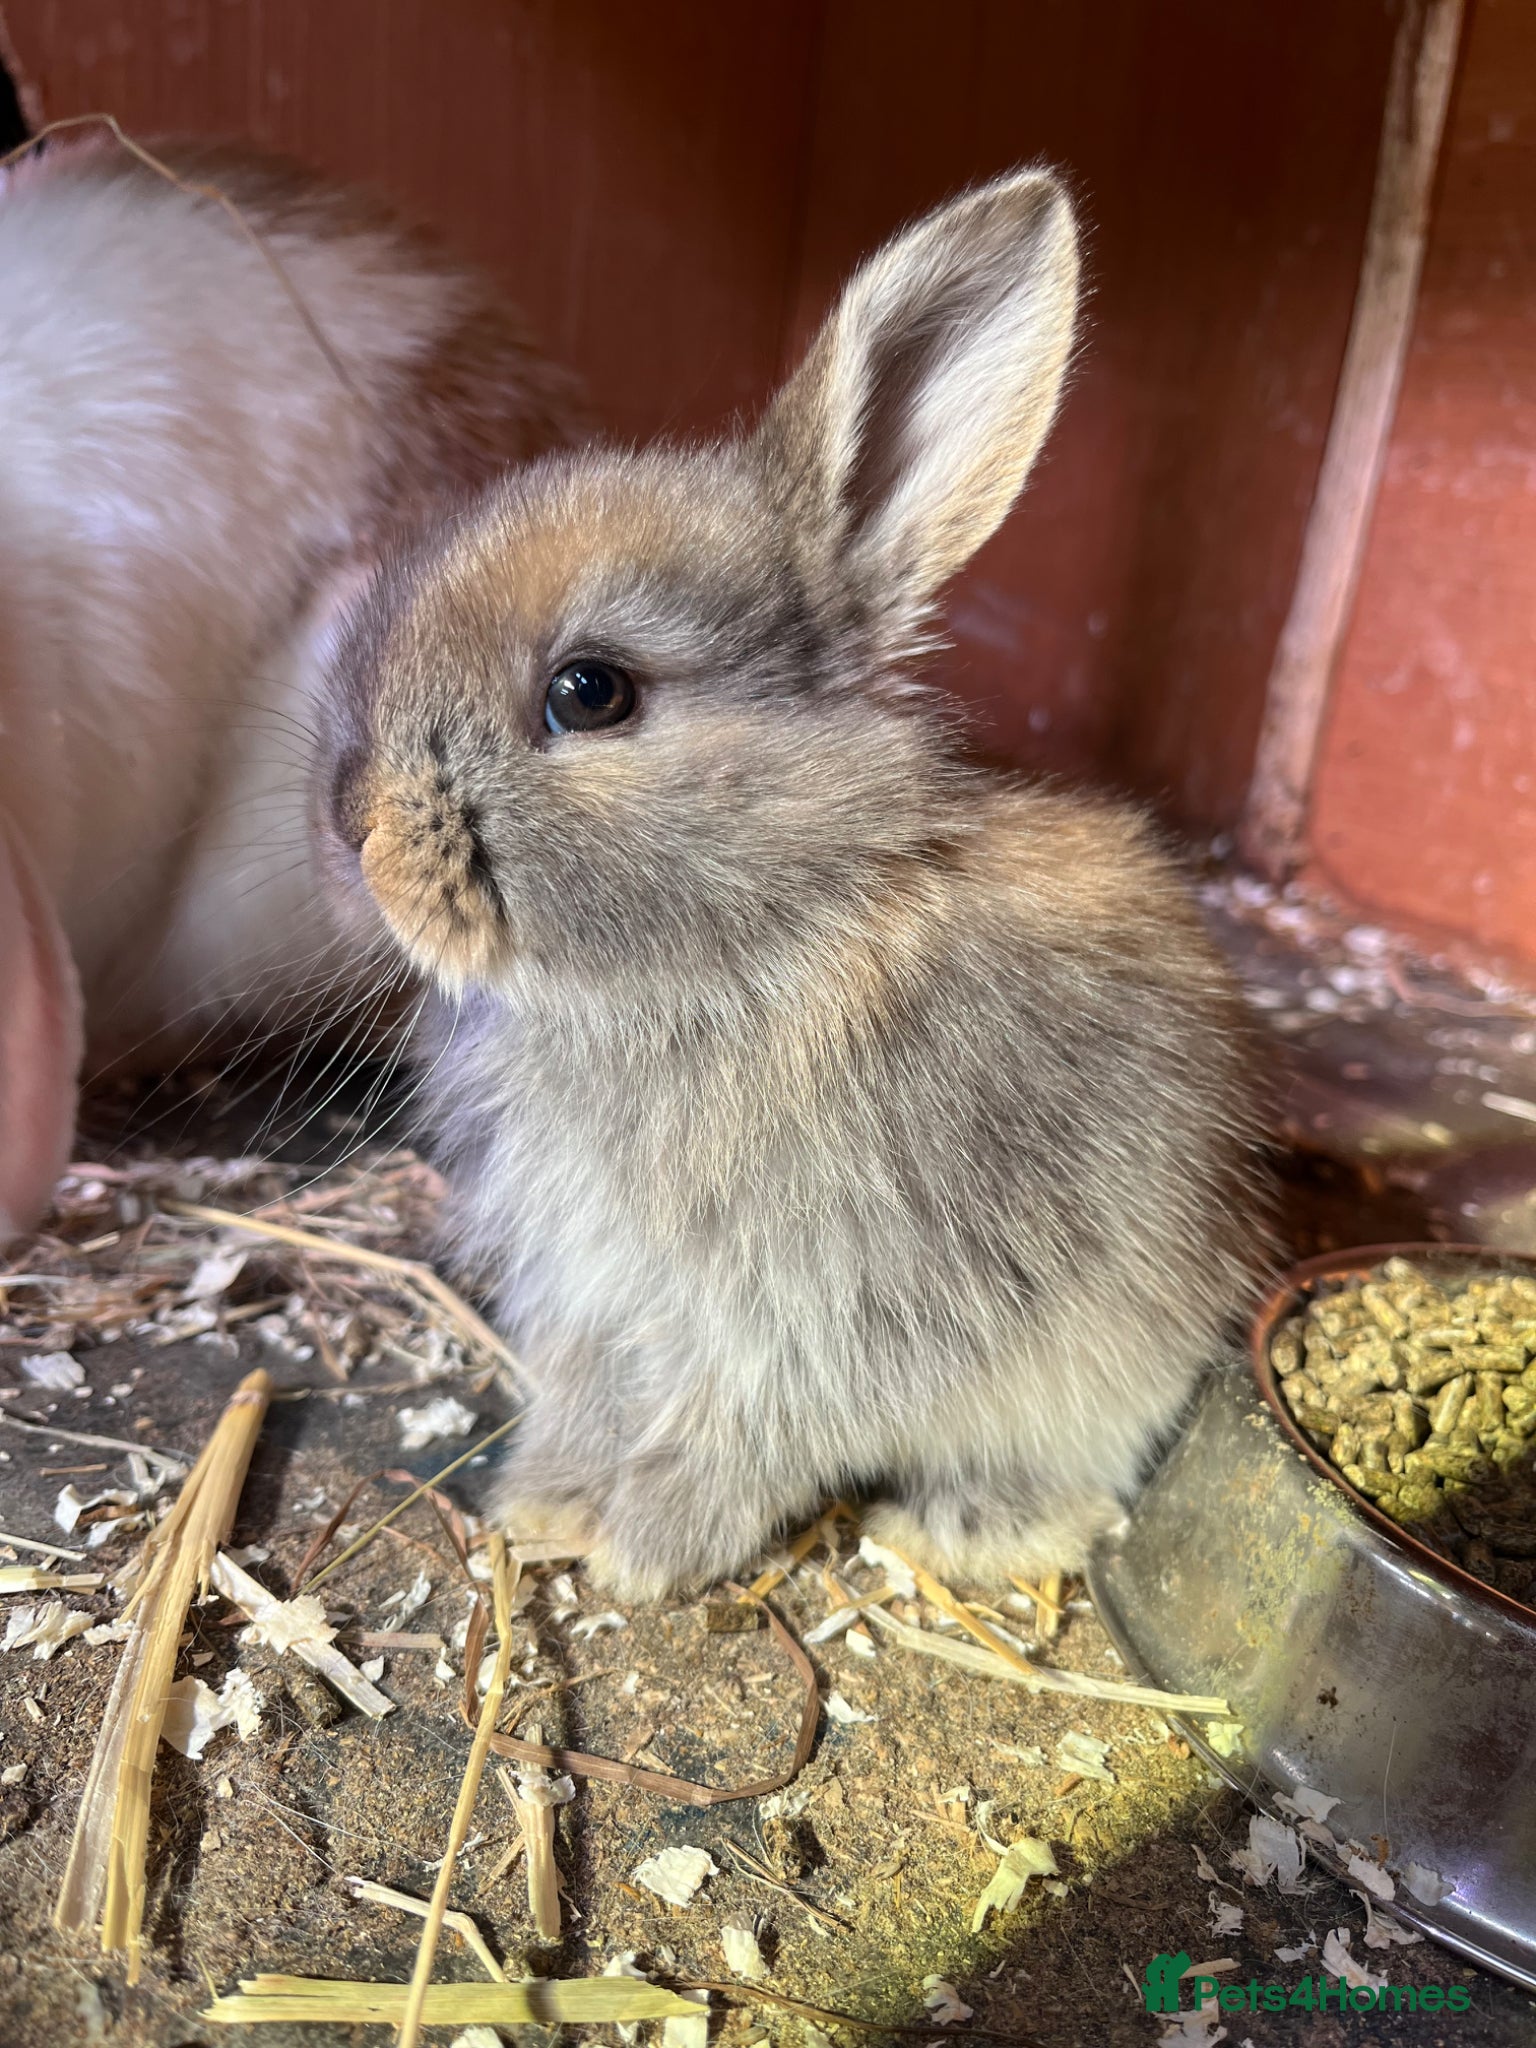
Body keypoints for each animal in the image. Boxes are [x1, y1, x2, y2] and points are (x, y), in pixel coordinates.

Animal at [317, 165, 1269, 1598]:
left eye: (590, 691)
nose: (355, 826)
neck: (770, 925)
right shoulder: (604, 1292)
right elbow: (597, 1389)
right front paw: (547, 1502)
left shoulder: (843, 1299)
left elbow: (757, 1425)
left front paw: (647, 1545)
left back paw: (973, 1527)